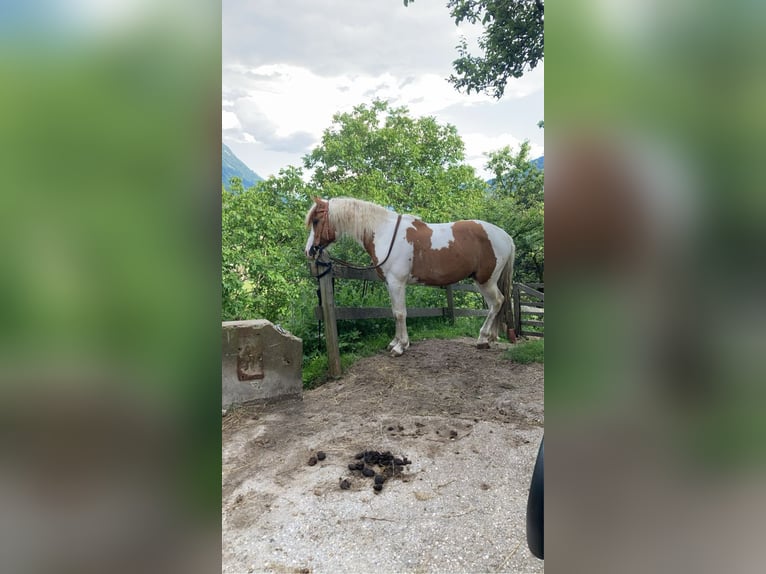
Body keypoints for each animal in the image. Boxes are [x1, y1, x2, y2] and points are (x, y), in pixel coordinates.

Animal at [305, 197, 515, 356]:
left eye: (316, 221)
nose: (309, 251)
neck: (384, 233)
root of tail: (505, 236)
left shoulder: (397, 283)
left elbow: (400, 313)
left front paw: (400, 346)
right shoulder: (390, 284)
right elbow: (394, 312)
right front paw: (395, 342)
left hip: (485, 281)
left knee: (497, 302)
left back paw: (482, 338)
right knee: (497, 304)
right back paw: (489, 338)